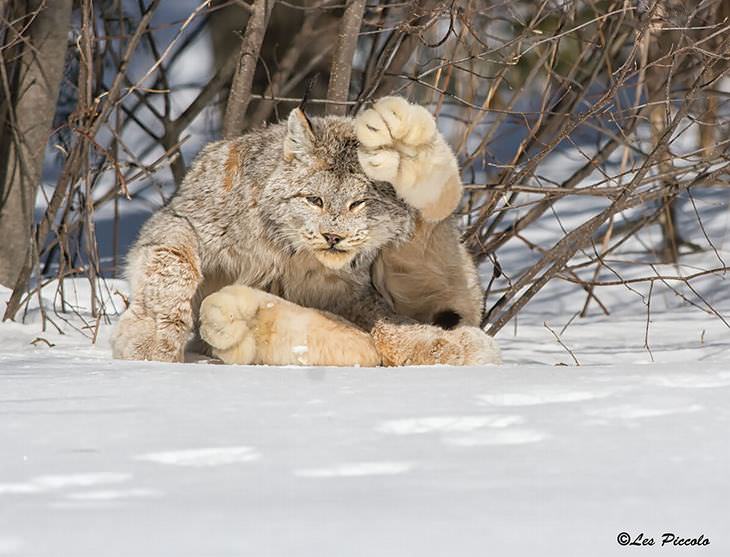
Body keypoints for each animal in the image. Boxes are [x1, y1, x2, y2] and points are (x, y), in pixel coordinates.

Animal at [112, 96, 500, 364]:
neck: (287, 251)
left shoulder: (349, 291)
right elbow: (174, 264)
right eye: (314, 200)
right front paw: (151, 341)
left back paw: (405, 142)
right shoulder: (183, 218)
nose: (333, 237)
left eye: (358, 204)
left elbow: (382, 329)